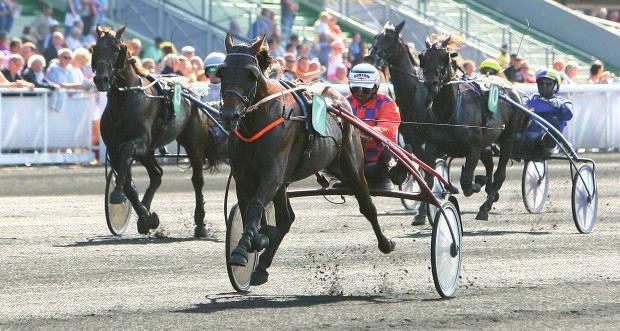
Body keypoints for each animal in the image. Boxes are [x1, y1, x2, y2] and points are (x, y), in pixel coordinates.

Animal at [91, 26, 218, 239]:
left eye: (116, 50)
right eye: (95, 48)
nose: (101, 79)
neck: (124, 101)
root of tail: (191, 91)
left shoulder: (140, 142)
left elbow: (127, 153)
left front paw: (117, 195)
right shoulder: (115, 149)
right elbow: (128, 183)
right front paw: (146, 217)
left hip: (193, 143)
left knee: (197, 181)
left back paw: (200, 225)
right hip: (149, 152)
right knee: (157, 174)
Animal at [220, 34, 394, 286]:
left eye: (251, 74)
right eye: (221, 72)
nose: (229, 115)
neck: (259, 121)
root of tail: (336, 97)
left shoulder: (272, 175)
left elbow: (255, 207)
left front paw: (243, 250)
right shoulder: (244, 178)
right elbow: (248, 213)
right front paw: (257, 240)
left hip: (351, 166)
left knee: (368, 206)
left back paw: (385, 243)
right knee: (285, 220)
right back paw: (261, 267)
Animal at [366, 22, 434, 224]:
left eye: (389, 38)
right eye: (375, 37)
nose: (369, 57)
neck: (414, 95)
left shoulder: (427, 140)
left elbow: (427, 172)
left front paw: (423, 212)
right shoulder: (412, 139)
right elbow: (418, 169)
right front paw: (420, 212)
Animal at [418, 38, 524, 220]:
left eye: (445, 58)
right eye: (423, 58)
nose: (431, 84)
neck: (448, 112)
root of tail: (509, 85)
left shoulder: (473, 148)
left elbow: (467, 183)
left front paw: (478, 183)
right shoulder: (431, 146)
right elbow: (429, 180)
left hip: (508, 137)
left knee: (500, 173)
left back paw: (485, 206)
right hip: (485, 142)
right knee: (489, 162)